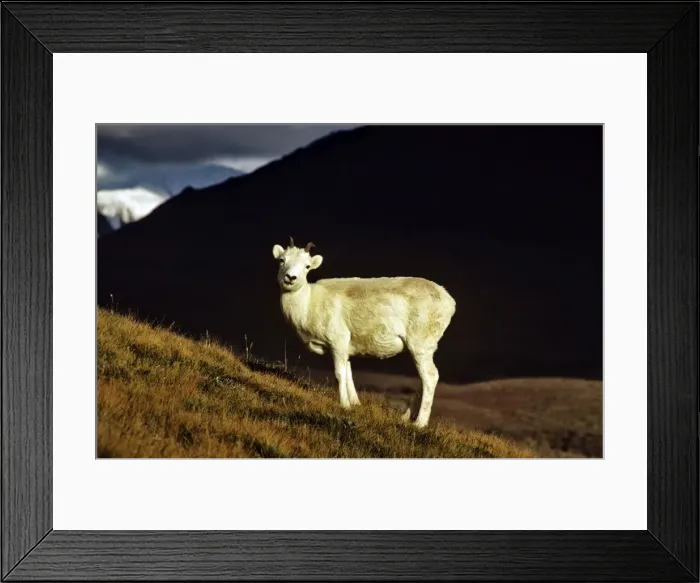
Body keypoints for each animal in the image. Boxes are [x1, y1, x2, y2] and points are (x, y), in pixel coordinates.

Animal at [272, 237, 456, 428]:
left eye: (307, 266)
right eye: (282, 260)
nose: (290, 278)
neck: (308, 303)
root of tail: (449, 301)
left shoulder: (338, 342)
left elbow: (339, 374)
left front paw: (344, 406)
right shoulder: (344, 349)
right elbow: (348, 374)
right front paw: (355, 404)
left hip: (420, 346)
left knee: (430, 377)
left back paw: (419, 424)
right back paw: (405, 418)